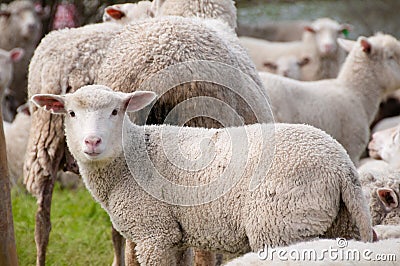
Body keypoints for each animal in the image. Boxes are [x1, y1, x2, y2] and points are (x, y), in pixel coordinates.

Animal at [32, 85, 376, 266]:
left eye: (116, 112)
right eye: (71, 113)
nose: (92, 142)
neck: (131, 158)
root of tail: (341, 165)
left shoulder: (154, 233)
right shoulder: (175, 234)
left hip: (282, 223)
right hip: (340, 222)